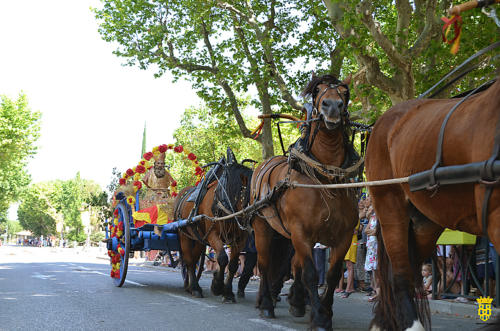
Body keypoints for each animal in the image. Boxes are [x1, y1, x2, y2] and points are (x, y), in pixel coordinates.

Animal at [176, 151, 254, 304]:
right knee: (189, 261)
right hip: (184, 236)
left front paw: (228, 292)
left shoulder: (240, 239)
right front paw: (217, 285)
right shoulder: (213, 234)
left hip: (199, 239)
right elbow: (223, 258)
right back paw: (195, 288)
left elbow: (233, 264)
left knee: (194, 259)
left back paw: (189, 285)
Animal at [250, 74, 360, 330]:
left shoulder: (343, 236)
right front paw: (319, 318)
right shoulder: (301, 232)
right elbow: (310, 272)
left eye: (345, 92)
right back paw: (266, 303)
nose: (332, 107)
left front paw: (322, 310)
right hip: (262, 226)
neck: (325, 178)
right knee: (264, 263)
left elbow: (331, 274)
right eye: (317, 91)